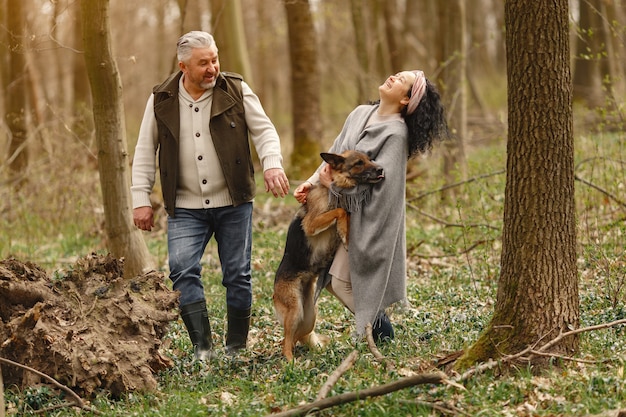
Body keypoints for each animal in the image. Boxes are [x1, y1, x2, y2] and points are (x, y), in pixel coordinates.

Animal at [272, 150, 382, 360]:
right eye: (359, 163)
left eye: (369, 159)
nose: (380, 169)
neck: (332, 189)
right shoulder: (311, 224)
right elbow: (339, 211)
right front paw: (344, 233)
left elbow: (345, 211)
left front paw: (344, 231)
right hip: (295, 311)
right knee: (286, 341)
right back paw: (290, 360)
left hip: (309, 316)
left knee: (297, 337)